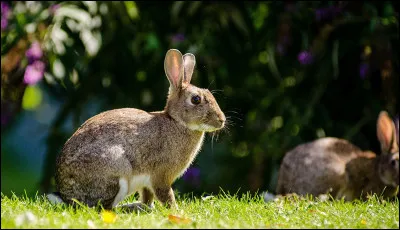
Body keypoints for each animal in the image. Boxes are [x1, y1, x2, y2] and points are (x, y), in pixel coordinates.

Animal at [47, 48, 225, 210]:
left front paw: (147, 207)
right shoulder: (160, 176)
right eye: (196, 99)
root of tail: (66, 196)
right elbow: (165, 194)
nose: (221, 120)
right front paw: (176, 210)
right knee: (103, 208)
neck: (176, 121)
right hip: (117, 171)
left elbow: (148, 195)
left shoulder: (148, 183)